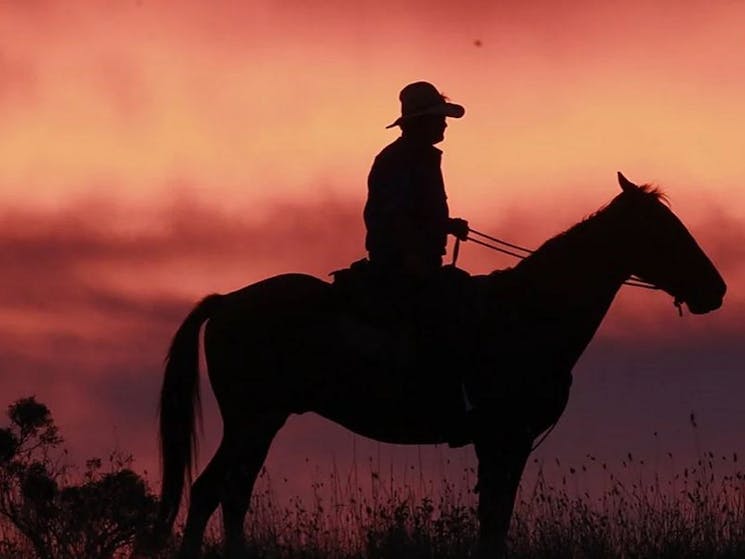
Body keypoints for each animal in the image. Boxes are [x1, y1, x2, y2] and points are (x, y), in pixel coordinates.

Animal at [158, 173, 728, 556]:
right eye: (664, 230)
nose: (717, 290)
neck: (529, 313)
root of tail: (226, 301)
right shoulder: (504, 437)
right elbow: (494, 520)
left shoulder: (504, 443)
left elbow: (494, 519)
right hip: (251, 420)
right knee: (211, 493)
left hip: (263, 422)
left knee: (229, 496)